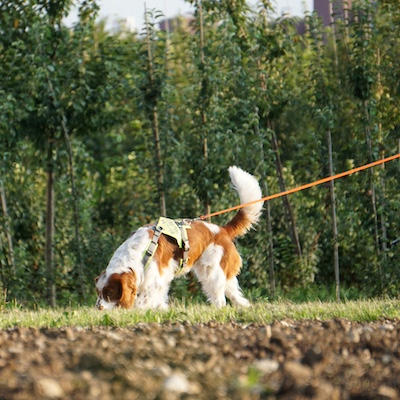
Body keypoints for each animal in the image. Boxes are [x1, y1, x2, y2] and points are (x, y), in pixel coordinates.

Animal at [94, 166, 262, 310]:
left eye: (109, 293)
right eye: (98, 292)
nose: (98, 308)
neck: (140, 254)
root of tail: (222, 230)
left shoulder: (154, 280)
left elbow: (142, 302)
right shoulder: (160, 281)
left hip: (212, 271)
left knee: (220, 297)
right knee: (233, 291)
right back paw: (243, 305)